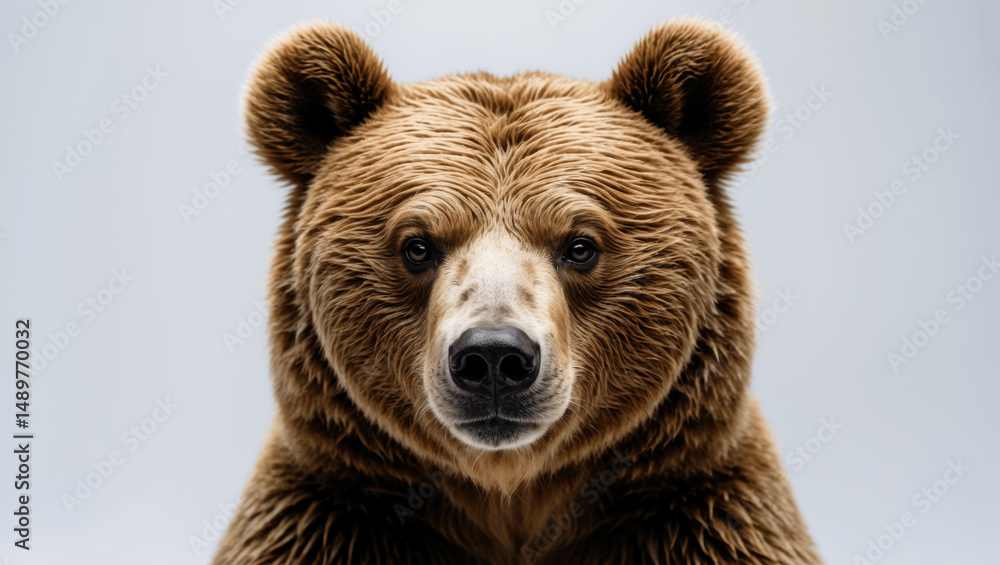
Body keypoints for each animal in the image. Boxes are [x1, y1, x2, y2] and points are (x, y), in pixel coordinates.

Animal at [213, 18, 823, 565]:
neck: (511, 498)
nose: (493, 357)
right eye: (417, 245)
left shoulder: (702, 515)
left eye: (580, 245)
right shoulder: (325, 519)